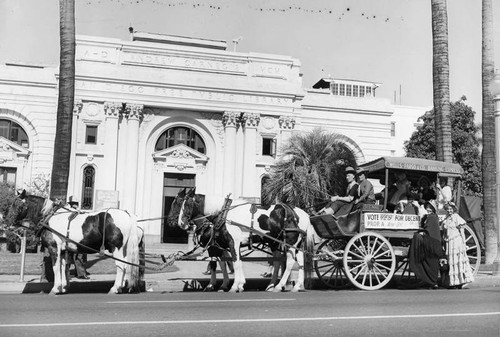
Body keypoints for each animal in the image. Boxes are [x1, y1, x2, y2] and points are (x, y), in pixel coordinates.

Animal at [5, 192, 144, 294]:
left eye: (18, 205)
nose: (7, 222)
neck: (49, 217)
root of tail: (127, 214)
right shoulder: (62, 250)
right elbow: (62, 267)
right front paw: (62, 287)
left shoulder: (53, 247)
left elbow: (56, 267)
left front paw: (55, 289)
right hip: (123, 249)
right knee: (125, 266)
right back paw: (121, 287)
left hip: (116, 248)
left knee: (121, 266)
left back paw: (115, 288)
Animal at [168, 186, 316, 292]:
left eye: (182, 203)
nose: (178, 223)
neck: (224, 214)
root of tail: (302, 214)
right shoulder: (224, 244)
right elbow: (229, 262)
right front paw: (233, 284)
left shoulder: (230, 243)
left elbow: (233, 262)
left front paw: (234, 286)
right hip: (288, 243)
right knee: (293, 261)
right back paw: (294, 285)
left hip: (290, 242)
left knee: (289, 262)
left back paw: (280, 286)